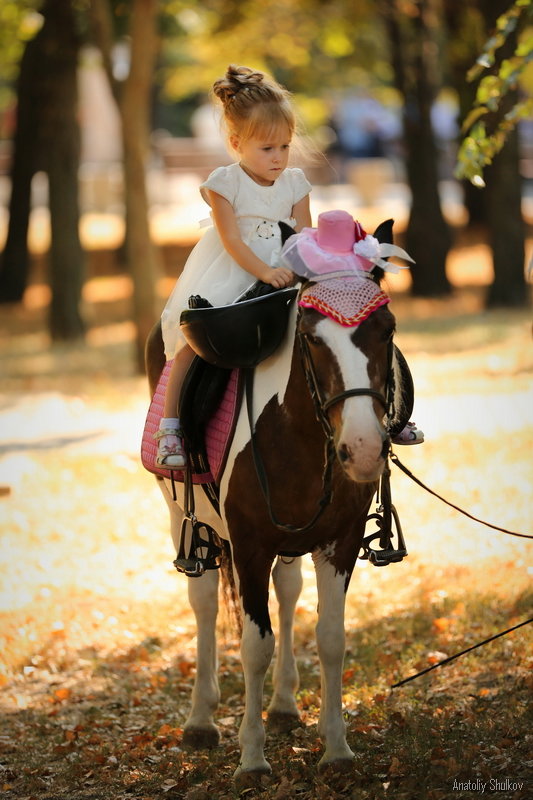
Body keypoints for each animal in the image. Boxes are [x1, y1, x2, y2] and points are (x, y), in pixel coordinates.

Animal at [145, 216, 412, 780]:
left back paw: (286, 706)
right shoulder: (248, 545)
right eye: (309, 336)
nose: (362, 448)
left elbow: (330, 638)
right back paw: (201, 720)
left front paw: (336, 748)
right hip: (180, 511)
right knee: (204, 600)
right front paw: (251, 757)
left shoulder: (339, 541)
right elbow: (254, 645)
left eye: (388, 329)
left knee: (287, 590)